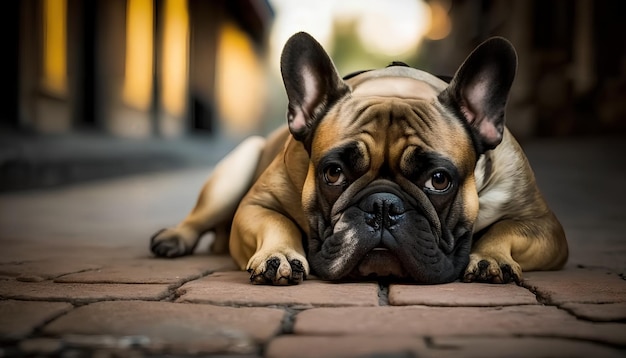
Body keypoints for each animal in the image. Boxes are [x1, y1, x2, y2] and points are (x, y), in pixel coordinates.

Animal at [150, 32, 564, 286]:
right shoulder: (255, 204)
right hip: (236, 168)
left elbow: (504, 230)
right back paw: (173, 238)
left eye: (439, 180)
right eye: (333, 173)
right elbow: (276, 222)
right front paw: (279, 255)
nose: (382, 205)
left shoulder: (542, 225)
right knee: (198, 218)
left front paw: (490, 257)